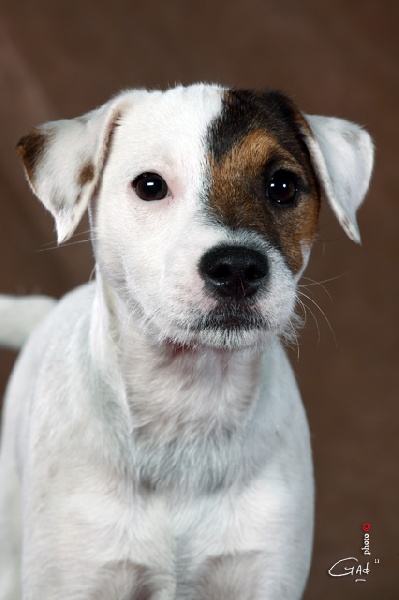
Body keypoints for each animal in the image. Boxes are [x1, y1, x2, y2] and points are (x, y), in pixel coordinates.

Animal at [0, 85, 376, 600]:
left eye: (282, 185)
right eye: (150, 186)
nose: (237, 267)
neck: (187, 403)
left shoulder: (264, 572)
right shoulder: (76, 577)